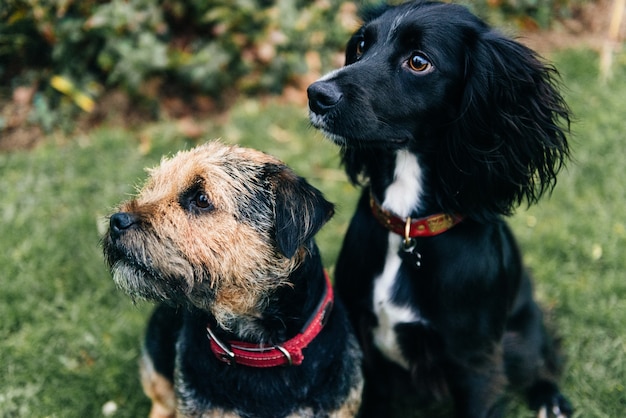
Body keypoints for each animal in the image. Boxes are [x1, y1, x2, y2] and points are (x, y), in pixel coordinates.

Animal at [308, 0, 572, 418]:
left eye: (419, 62)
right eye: (362, 45)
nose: (316, 93)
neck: (407, 227)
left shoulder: (475, 361)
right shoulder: (364, 344)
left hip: (522, 335)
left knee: (541, 358)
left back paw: (549, 396)